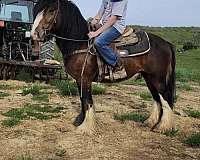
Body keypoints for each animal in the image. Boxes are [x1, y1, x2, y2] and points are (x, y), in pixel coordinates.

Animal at [30, 0, 175, 132]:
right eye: (36, 10)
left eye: (51, 10)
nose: (34, 34)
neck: (80, 43)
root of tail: (166, 43)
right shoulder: (79, 80)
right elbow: (82, 101)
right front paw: (80, 121)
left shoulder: (85, 79)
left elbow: (87, 101)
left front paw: (86, 127)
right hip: (148, 78)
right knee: (157, 98)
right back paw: (151, 122)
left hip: (158, 78)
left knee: (165, 98)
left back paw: (163, 127)